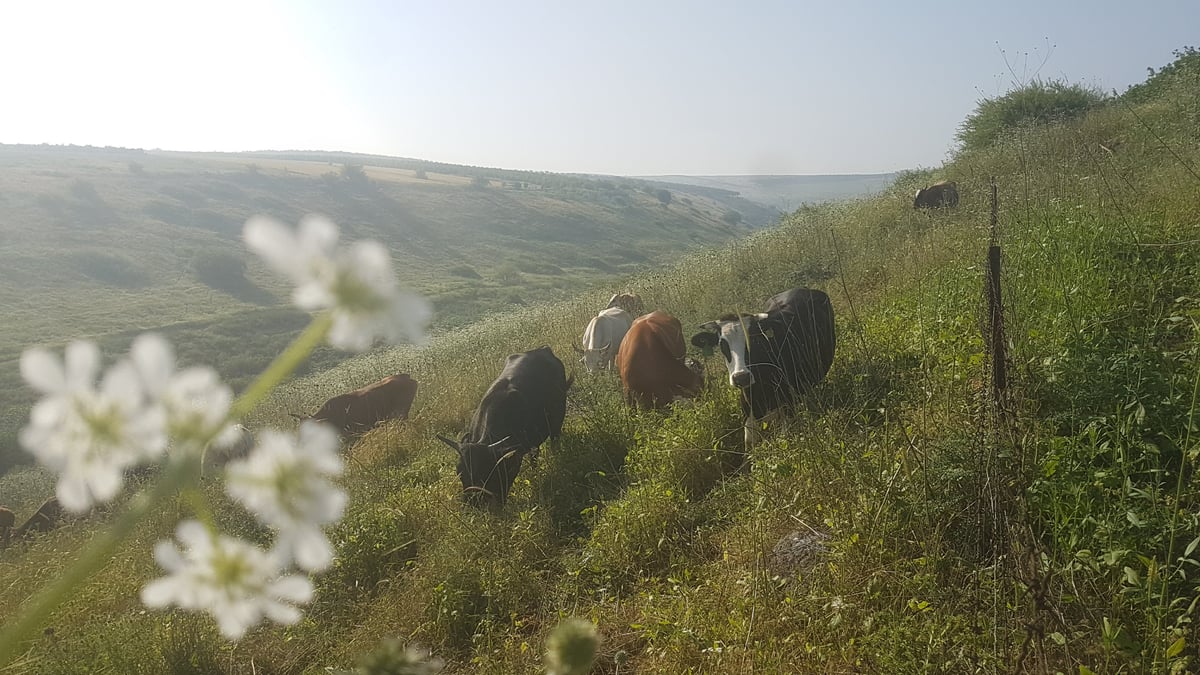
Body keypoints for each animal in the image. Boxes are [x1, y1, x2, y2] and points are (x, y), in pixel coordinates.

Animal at [439, 343, 573, 506]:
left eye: (486, 471)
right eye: (459, 472)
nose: (473, 502)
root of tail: (543, 349)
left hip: (557, 419)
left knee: (554, 440)